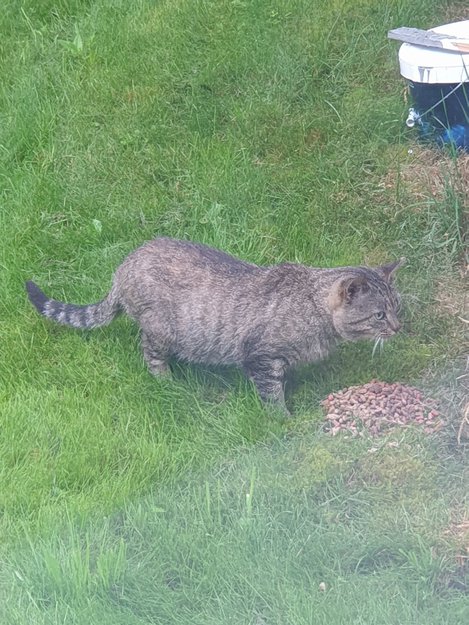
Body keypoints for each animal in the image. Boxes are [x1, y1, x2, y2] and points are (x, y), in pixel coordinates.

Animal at [26, 237, 404, 414]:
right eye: (379, 315)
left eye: (396, 307)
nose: (399, 328)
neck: (311, 306)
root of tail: (123, 268)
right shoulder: (261, 357)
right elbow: (272, 396)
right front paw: (284, 416)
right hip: (161, 330)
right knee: (150, 353)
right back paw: (167, 381)